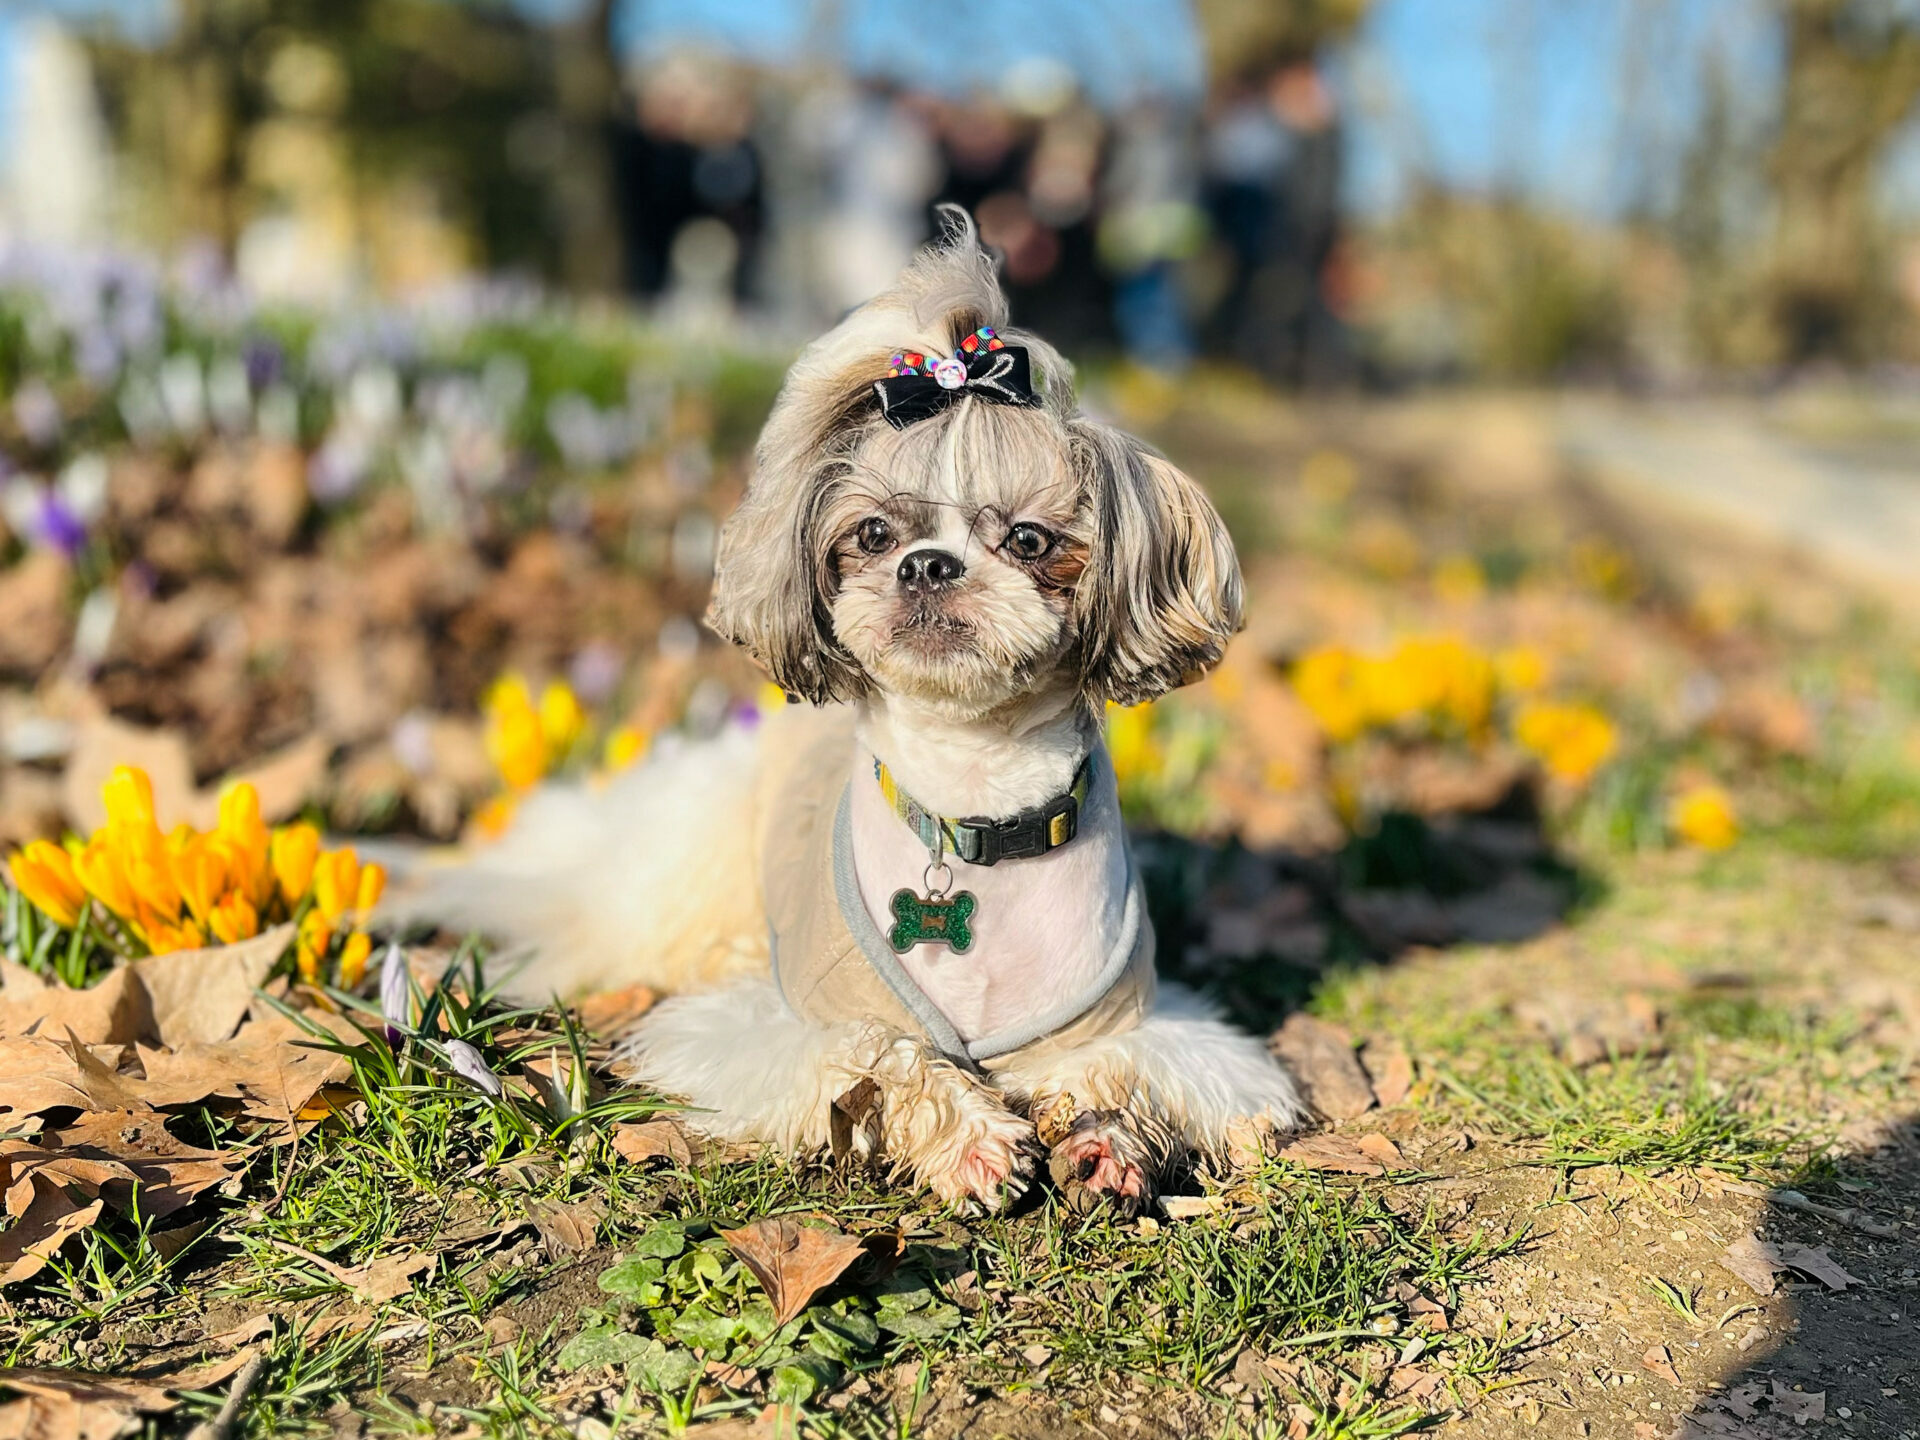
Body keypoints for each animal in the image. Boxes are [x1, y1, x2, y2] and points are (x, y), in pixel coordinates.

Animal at [408, 211, 1305, 1221]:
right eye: (875, 534)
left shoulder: (1150, 1023)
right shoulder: (774, 1025)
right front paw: (970, 1140)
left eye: (1029, 541)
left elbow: (1123, 1064)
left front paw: (1104, 1139)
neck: (971, 807)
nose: (927, 564)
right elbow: (880, 1051)